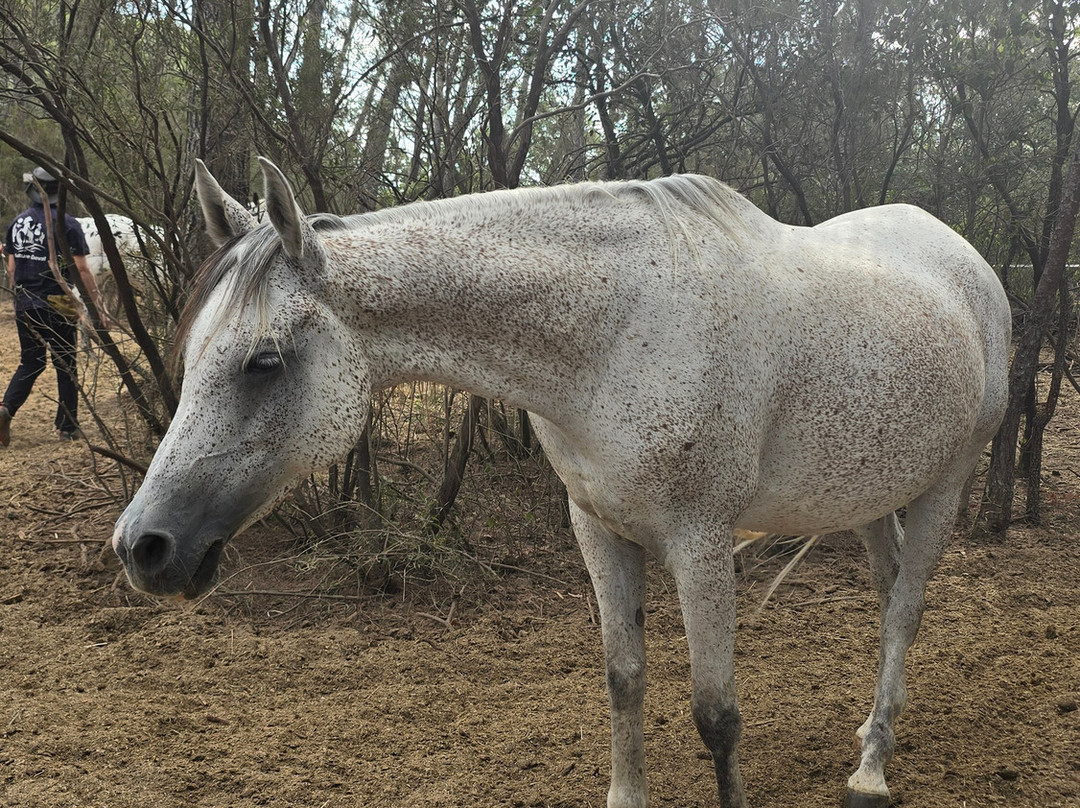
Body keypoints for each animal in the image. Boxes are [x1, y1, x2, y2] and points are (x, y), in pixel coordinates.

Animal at [112, 158, 1010, 808]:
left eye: (264, 363)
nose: (142, 546)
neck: (615, 334)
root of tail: (968, 261)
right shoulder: (599, 529)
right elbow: (624, 680)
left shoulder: (701, 543)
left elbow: (716, 717)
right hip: (871, 493)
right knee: (888, 595)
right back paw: (869, 736)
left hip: (947, 482)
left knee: (906, 610)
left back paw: (872, 770)